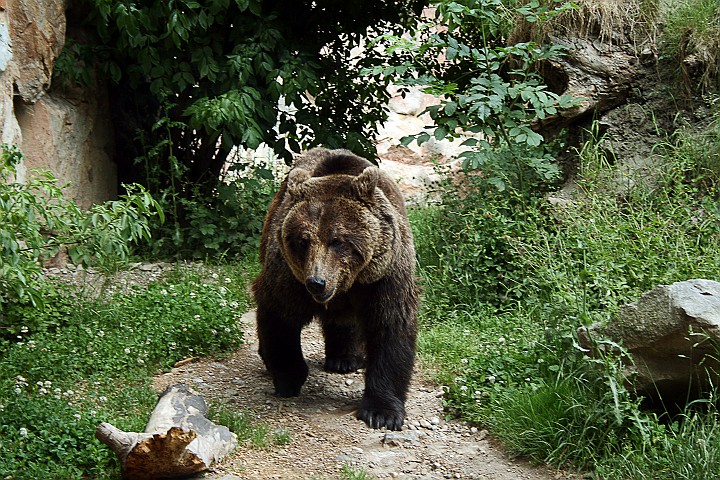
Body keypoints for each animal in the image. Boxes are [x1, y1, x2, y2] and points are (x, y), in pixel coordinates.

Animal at [252, 147, 419, 431]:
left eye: (337, 240)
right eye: (303, 240)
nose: (316, 282)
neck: (346, 284)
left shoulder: (384, 276)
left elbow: (390, 327)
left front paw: (382, 412)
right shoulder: (288, 277)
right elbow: (279, 316)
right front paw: (288, 378)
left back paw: (345, 359)